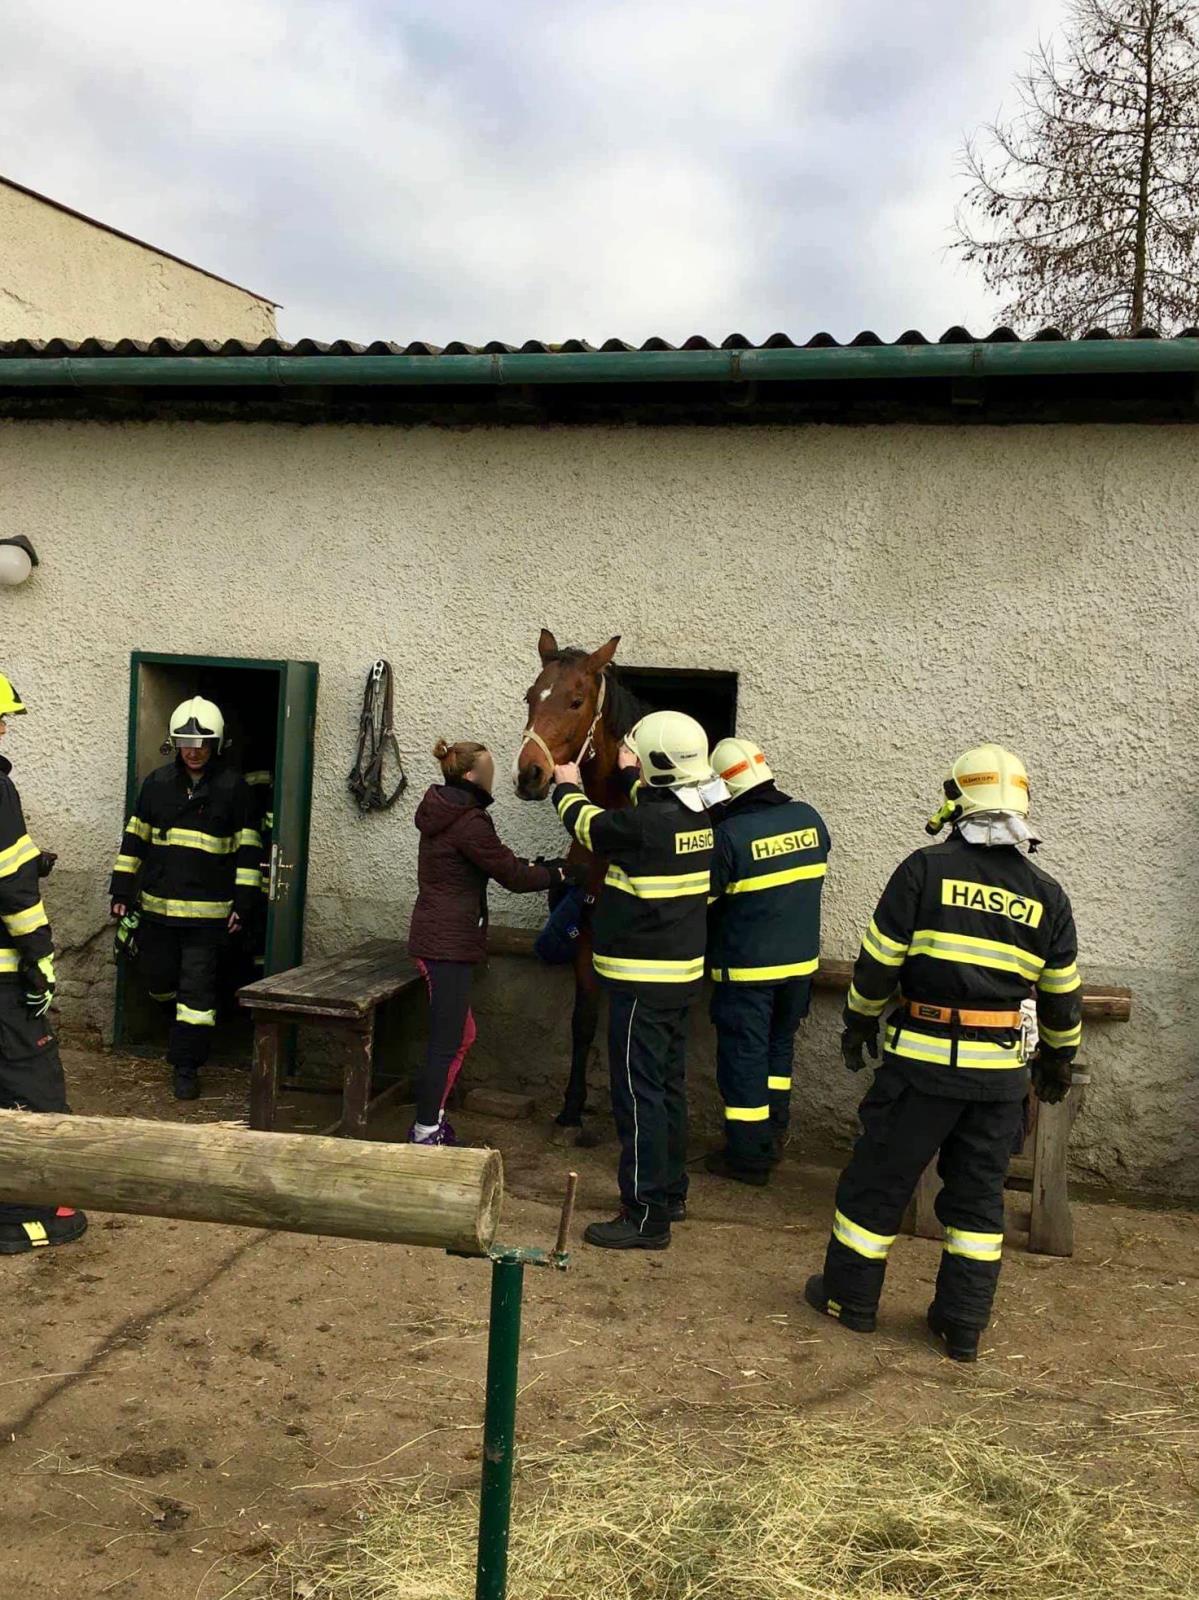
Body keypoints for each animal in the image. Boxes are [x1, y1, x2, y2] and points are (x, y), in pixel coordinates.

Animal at [515, 624, 646, 1139]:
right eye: (530, 696)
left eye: (575, 701)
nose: (530, 774)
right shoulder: (586, 929)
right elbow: (585, 1020)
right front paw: (572, 1106)